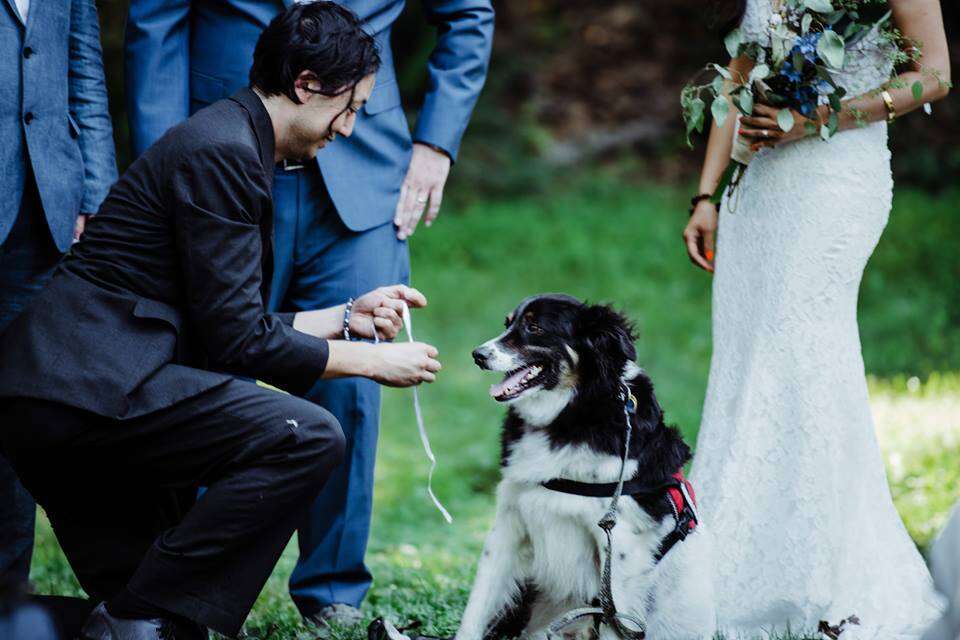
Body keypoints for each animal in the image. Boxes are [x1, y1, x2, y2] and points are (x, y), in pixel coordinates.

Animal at [456, 296, 712, 640]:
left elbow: (615, 620)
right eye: (508, 323)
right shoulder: (509, 521)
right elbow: (477, 605)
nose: (478, 355)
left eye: (534, 327)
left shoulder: (621, 544)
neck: (571, 413)